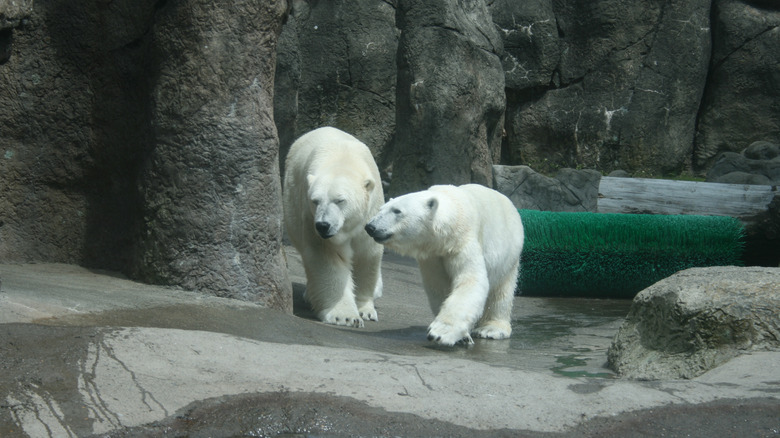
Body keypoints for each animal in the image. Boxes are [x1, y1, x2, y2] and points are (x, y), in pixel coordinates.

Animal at [284, 126, 386, 326]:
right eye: (315, 200)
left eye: (340, 200)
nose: (323, 225)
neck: (343, 159)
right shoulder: (310, 218)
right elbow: (328, 257)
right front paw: (345, 316)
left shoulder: (370, 212)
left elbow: (367, 254)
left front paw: (366, 311)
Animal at [366, 183, 524, 344]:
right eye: (381, 209)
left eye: (397, 211)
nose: (370, 227)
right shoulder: (433, 255)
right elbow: (439, 287)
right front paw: (463, 337)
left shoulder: (462, 242)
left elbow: (471, 280)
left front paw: (440, 333)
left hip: (509, 255)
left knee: (501, 292)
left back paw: (491, 329)